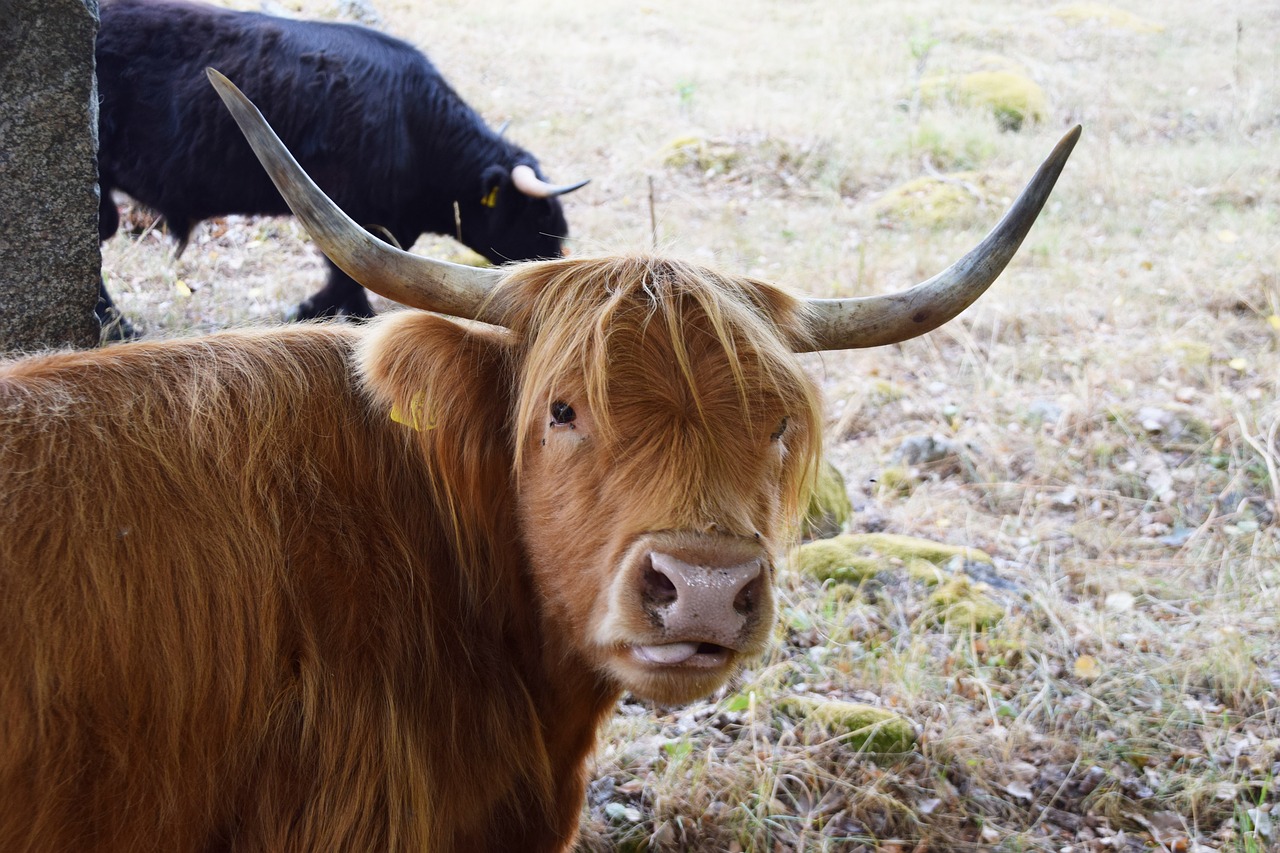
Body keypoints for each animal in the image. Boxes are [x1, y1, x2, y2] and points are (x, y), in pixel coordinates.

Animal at [93, 0, 586, 330]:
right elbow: (344, 273)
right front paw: (329, 312)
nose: (561, 257)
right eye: (538, 213)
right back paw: (117, 325)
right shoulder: (355, 211)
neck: (413, 124)